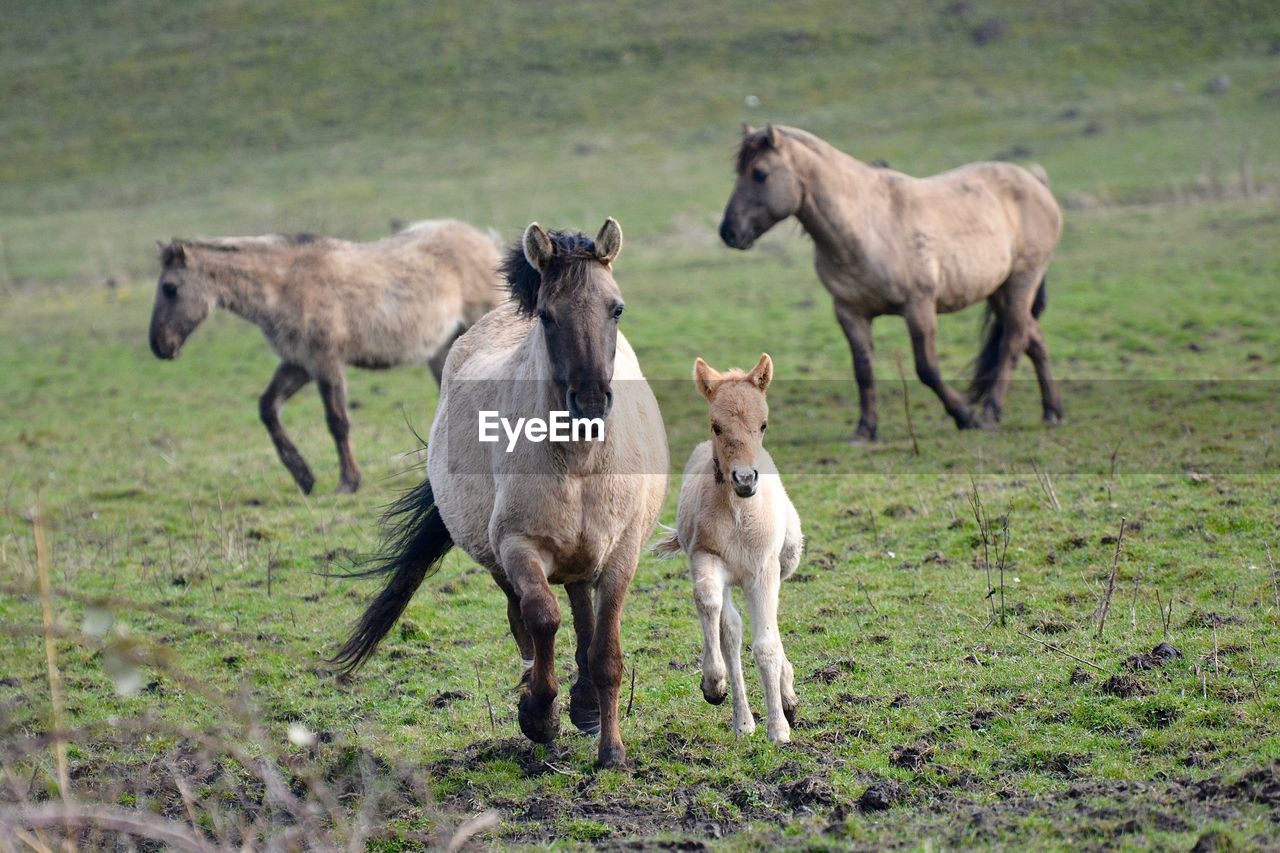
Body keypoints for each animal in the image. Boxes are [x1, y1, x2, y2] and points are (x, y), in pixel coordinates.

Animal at [147, 219, 501, 491]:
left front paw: (349, 481)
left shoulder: (326, 362)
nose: (159, 346)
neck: (286, 285)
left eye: (170, 288)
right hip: (443, 350)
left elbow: (337, 421)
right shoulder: (298, 364)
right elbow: (268, 408)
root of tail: (486, 241)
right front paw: (304, 477)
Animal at [330, 217, 670, 763]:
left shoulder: (621, 553)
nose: (590, 402)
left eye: (616, 308)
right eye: (547, 316)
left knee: (580, 608)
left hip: (583, 553)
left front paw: (611, 750)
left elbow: (605, 652)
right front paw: (538, 715)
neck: (579, 461)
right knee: (527, 619)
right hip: (500, 560)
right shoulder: (517, 546)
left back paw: (585, 706)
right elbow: (542, 618)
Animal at [660, 350, 798, 737]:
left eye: (763, 424)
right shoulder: (705, 556)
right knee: (731, 631)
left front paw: (779, 729)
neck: (738, 513)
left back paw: (786, 698)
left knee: (766, 629)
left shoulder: (764, 570)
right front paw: (713, 685)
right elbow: (709, 605)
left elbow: (766, 644)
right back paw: (743, 722)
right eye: (716, 426)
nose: (745, 479)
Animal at [716, 124, 1064, 438]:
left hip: (1021, 281)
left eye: (760, 173)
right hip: (998, 290)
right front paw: (865, 429)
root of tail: (1036, 182)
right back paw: (1053, 412)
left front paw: (966, 416)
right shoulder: (849, 312)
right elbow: (863, 371)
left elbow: (927, 369)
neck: (865, 227)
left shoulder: (918, 306)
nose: (729, 232)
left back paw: (991, 414)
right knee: (1034, 339)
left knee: (1013, 341)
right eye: (738, 172)